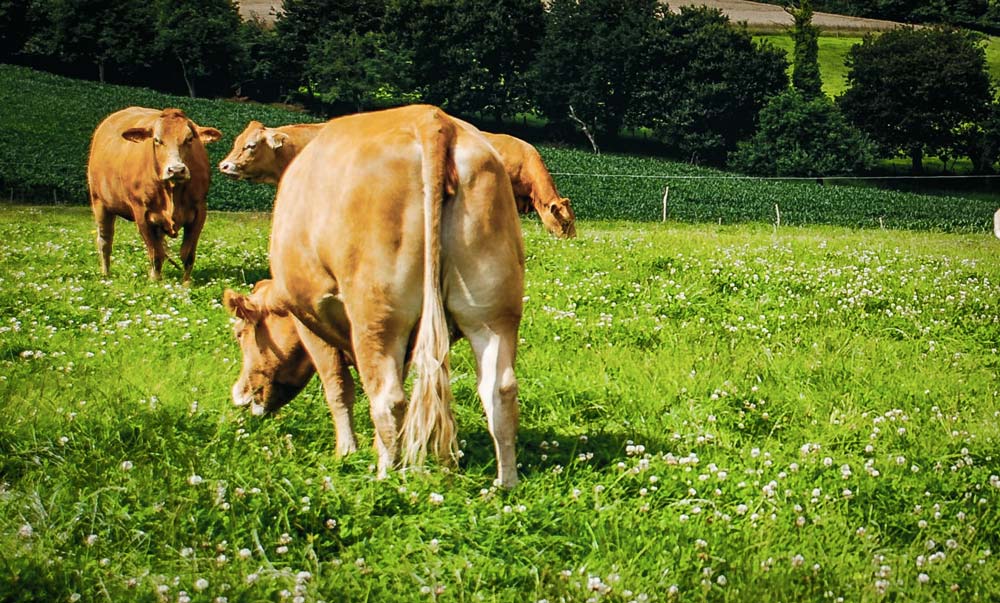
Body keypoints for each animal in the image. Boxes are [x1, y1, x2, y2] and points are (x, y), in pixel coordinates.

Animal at [87, 107, 222, 284]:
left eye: (189, 138)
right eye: (157, 140)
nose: (176, 170)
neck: (172, 190)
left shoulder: (200, 211)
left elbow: (187, 253)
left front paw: (186, 282)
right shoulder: (142, 214)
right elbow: (155, 252)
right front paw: (155, 280)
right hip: (99, 202)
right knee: (105, 240)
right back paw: (106, 274)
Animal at [224, 106, 528, 488]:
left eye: (240, 334)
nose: (239, 394)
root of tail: (431, 119)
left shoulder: (310, 321)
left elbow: (338, 388)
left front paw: (347, 451)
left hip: (377, 315)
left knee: (388, 398)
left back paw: (386, 477)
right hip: (492, 310)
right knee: (498, 389)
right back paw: (505, 483)